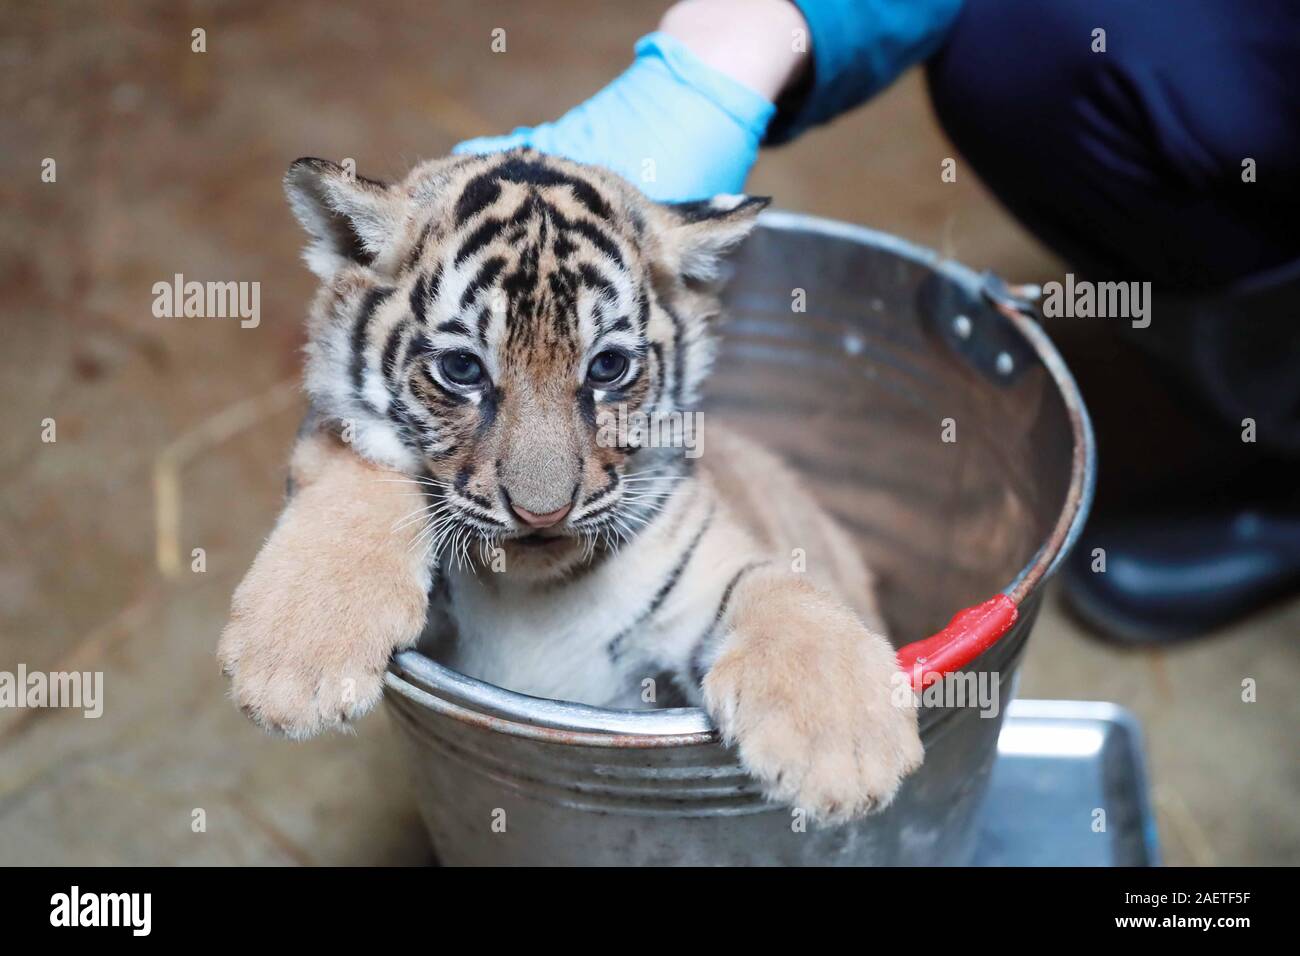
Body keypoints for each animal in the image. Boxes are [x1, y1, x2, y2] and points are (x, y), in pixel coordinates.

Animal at [217, 149, 923, 822]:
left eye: (607, 367)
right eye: (462, 369)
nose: (542, 513)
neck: (532, 589)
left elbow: (776, 590)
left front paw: (844, 746)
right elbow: (358, 466)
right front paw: (294, 658)